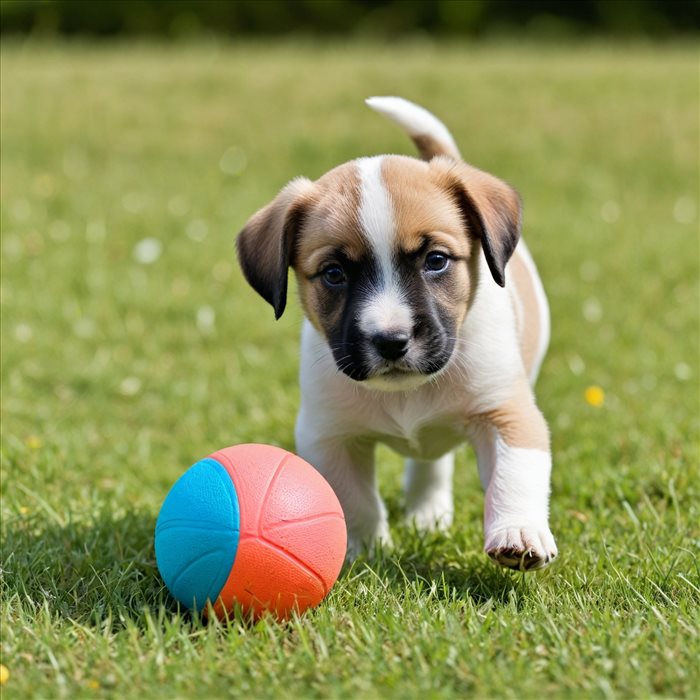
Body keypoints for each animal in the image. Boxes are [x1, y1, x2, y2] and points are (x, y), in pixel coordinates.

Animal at [235, 97, 556, 568]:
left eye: (436, 260)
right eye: (333, 274)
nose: (391, 341)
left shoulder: (506, 413)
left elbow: (515, 475)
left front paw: (519, 532)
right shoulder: (329, 435)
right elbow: (355, 500)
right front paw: (363, 551)